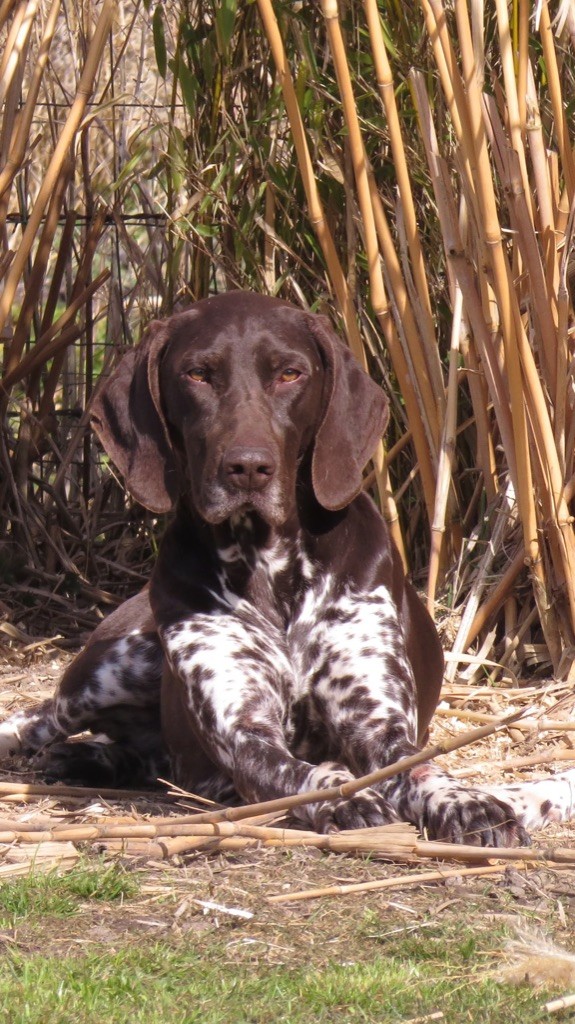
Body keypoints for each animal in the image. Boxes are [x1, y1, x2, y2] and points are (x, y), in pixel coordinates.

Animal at [2, 292, 568, 843]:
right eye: (197, 374)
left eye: (290, 374)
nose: (248, 467)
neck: (268, 562)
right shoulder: (244, 730)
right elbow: (296, 771)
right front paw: (344, 796)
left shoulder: (378, 722)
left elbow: (420, 767)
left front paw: (467, 802)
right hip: (108, 670)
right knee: (39, 718)